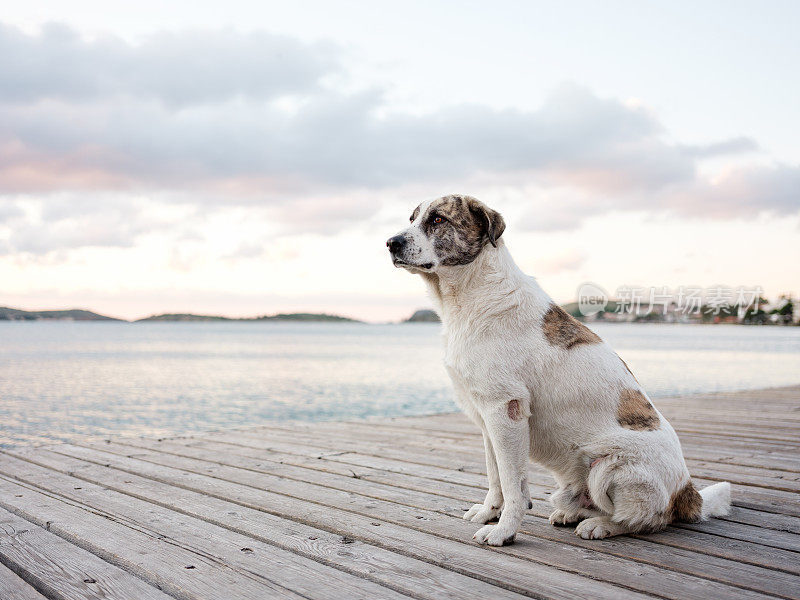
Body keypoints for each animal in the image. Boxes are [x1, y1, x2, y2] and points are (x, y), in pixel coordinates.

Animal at [388, 195, 732, 548]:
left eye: (438, 220)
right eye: (413, 219)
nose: (391, 243)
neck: (472, 296)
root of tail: (688, 492)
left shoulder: (506, 412)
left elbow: (513, 484)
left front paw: (503, 530)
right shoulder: (486, 418)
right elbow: (495, 476)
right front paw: (488, 513)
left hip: (611, 468)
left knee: (649, 519)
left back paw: (601, 526)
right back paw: (573, 514)